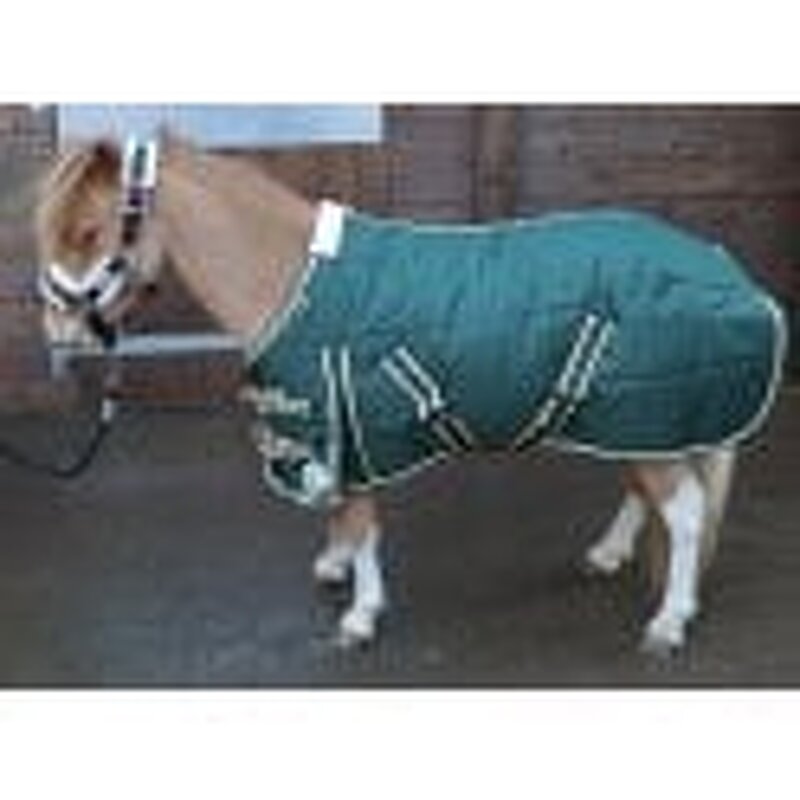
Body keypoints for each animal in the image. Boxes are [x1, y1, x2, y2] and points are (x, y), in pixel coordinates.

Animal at [34, 134, 786, 656]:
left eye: (89, 232)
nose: (58, 332)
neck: (290, 275)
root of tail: (727, 271)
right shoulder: (331, 430)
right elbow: (341, 513)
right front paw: (335, 566)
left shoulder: (351, 426)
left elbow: (363, 522)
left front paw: (360, 615)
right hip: (637, 418)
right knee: (642, 490)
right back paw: (610, 554)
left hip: (648, 419)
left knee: (685, 514)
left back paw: (669, 621)